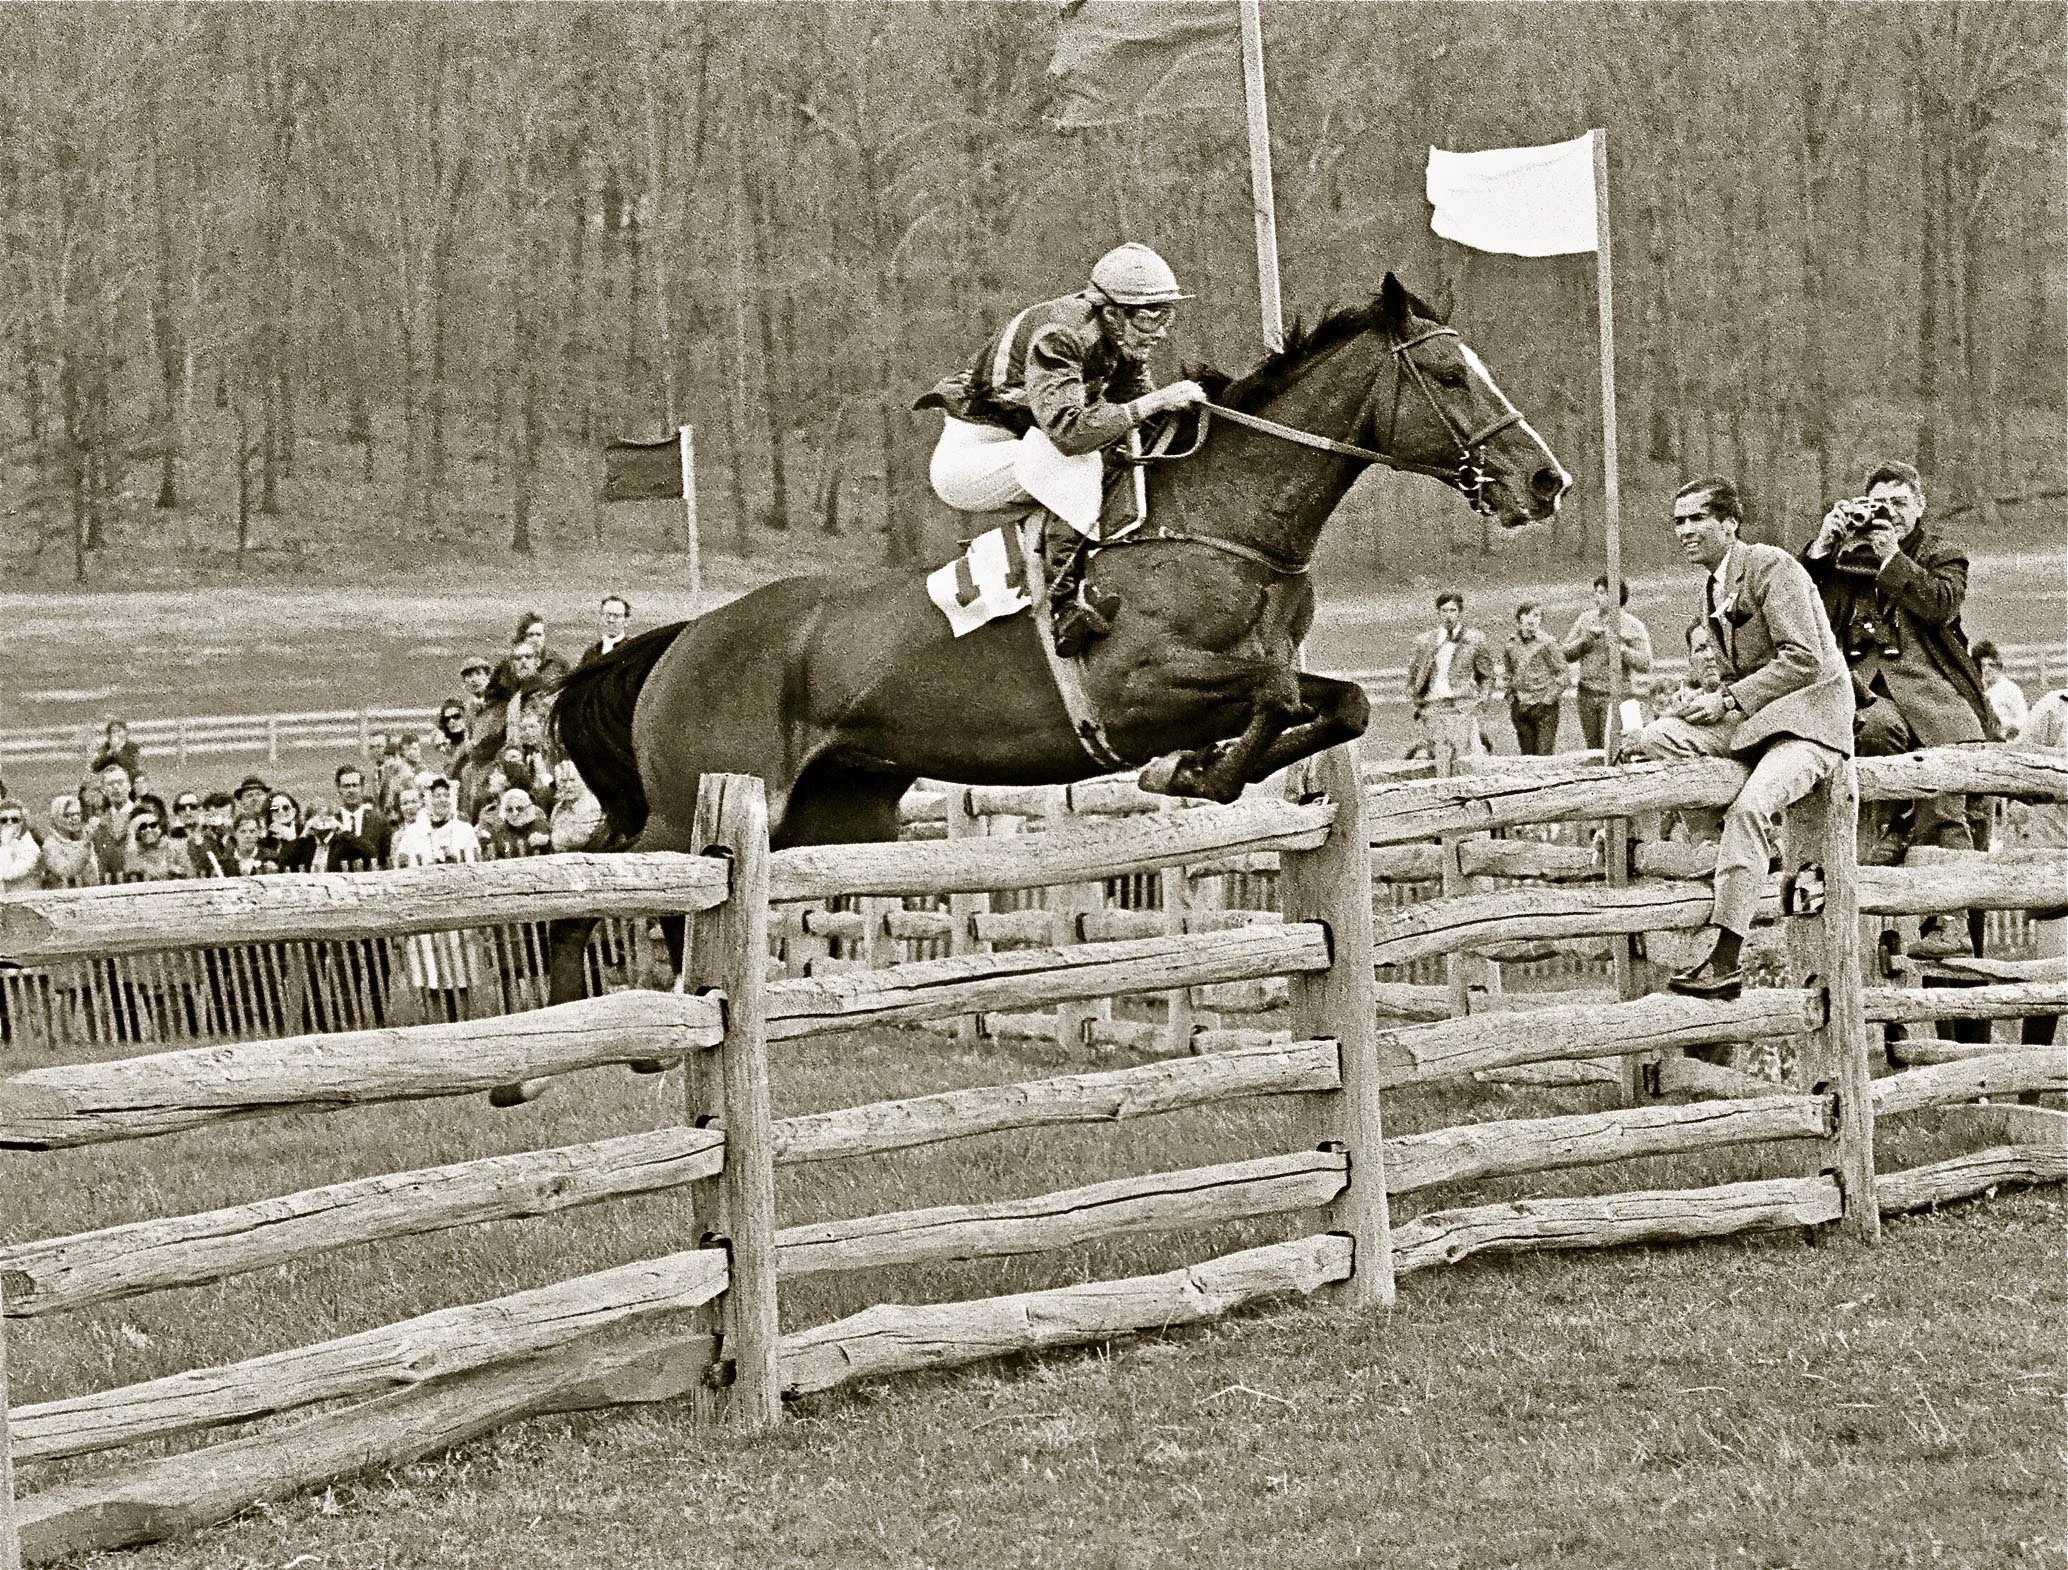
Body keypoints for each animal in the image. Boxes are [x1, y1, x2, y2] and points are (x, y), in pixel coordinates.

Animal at [502, 274, 1567, 1101]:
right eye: (1447, 374)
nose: (1545, 482)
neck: (1222, 522)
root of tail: (687, 637)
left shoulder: (1263, 674)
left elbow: (1342, 701)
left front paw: (1207, 772)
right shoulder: (1138, 692)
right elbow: (1267, 691)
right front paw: (1196, 775)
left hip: (819, 812)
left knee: (637, 880)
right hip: (707, 796)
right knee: (594, 885)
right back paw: (538, 1063)